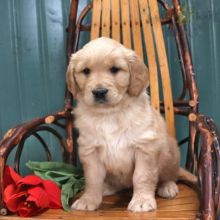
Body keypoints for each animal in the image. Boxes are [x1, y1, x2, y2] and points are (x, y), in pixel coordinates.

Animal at [66, 37, 191, 212]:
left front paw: (141, 201)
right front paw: (88, 199)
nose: (99, 92)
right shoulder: (90, 151)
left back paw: (167, 186)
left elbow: (142, 176)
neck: (110, 114)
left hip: (170, 153)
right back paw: (107, 187)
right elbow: (92, 179)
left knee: (170, 175)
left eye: (114, 69)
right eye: (86, 71)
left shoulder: (145, 147)